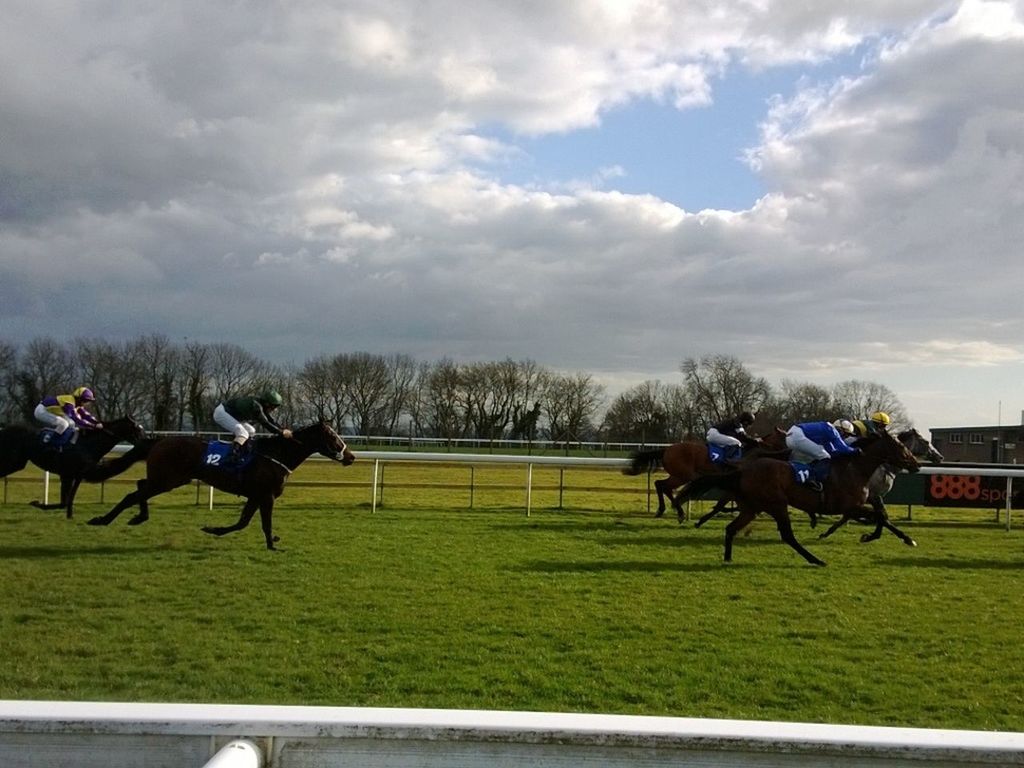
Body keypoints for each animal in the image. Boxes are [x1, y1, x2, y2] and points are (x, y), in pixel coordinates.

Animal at [0, 417, 149, 520]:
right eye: (138, 430)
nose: (146, 441)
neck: (89, 444)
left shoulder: (76, 475)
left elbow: (67, 500)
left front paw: (69, 515)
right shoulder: (68, 474)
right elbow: (64, 501)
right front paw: (36, 503)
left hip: (17, 463)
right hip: (12, 462)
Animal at [89, 421, 360, 552]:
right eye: (333, 437)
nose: (351, 457)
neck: (276, 454)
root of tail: (158, 440)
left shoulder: (255, 496)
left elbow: (242, 522)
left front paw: (213, 529)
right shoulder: (267, 496)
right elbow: (263, 523)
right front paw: (272, 545)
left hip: (166, 479)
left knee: (139, 487)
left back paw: (139, 517)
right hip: (167, 480)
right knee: (132, 494)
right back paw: (102, 519)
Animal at [618, 428, 786, 524]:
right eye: (786, 435)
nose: (789, 452)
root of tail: (667, 450)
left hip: (679, 475)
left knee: (660, 485)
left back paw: (668, 510)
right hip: (683, 475)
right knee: (665, 486)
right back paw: (676, 512)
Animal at [671, 430, 921, 569]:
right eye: (901, 446)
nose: (916, 464)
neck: (855, 468)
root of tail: (743, 469)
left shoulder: (857, 506)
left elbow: (881, 515)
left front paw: (902, 538)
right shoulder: (850, 506)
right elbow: (880, 516)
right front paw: (871, 536)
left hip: (753, 507)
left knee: (731, 529)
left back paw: (728, 558)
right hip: (777, 505)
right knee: (787, 536)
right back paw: (816, 560)